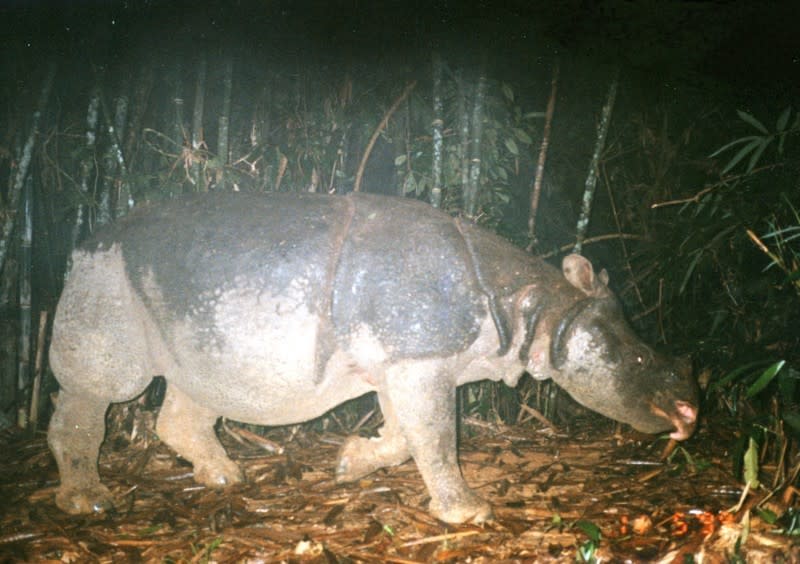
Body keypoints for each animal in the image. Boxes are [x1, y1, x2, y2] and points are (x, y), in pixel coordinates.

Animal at [50, 193, 696, 524]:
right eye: (639, 363)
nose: (690, 414)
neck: (536, 306)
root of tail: (82, 241)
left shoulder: (404, 361)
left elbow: (408, 435)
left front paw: (348, 465)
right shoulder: (421, 356)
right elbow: (437, 435)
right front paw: (470, 514)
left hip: (182, 301)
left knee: (196, 386)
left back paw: (226, 477)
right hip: (103, 277)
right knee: (103, 388)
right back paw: (89, 502)